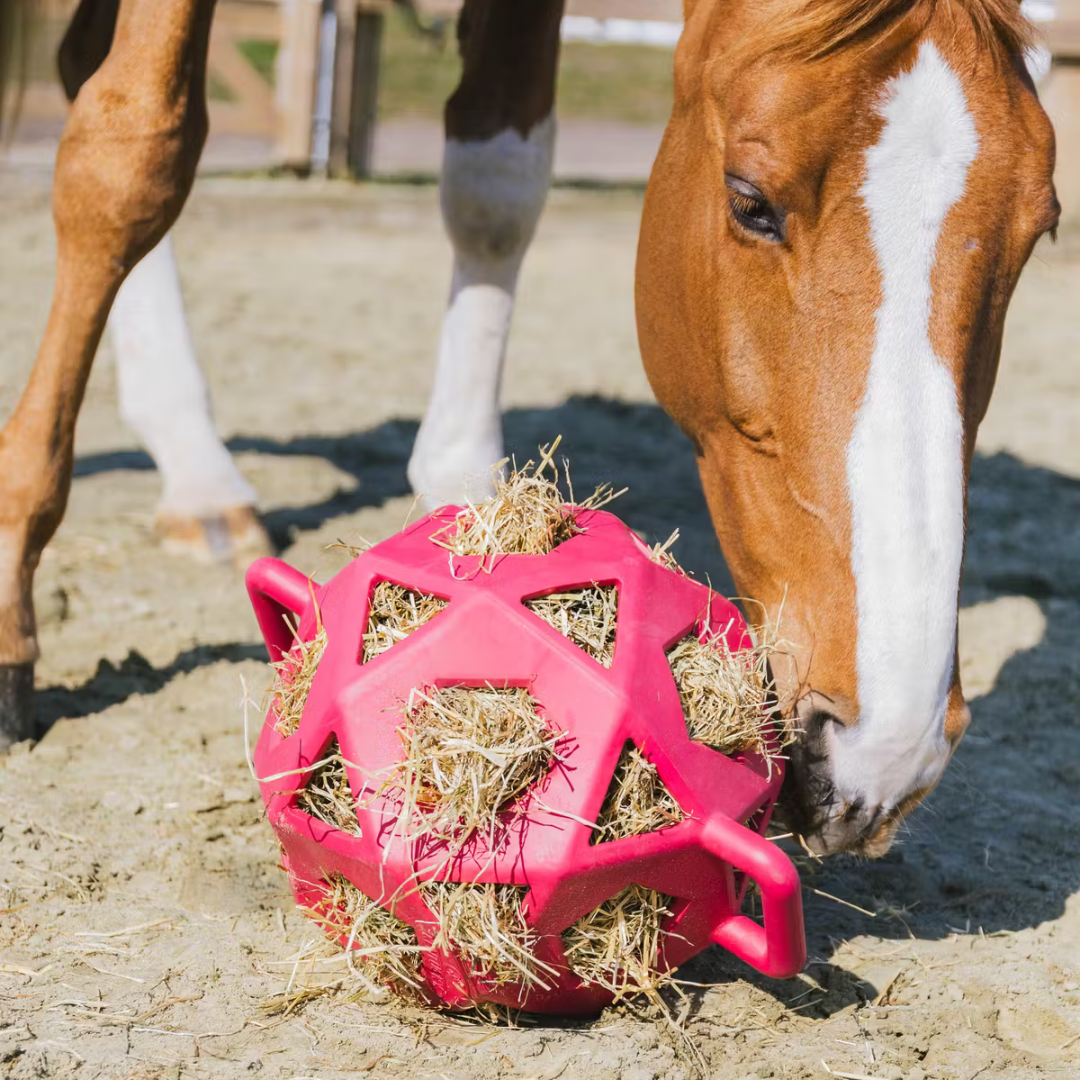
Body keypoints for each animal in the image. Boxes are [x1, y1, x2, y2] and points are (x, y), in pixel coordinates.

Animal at [0, 0, 1058, 861]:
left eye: (1039, 233)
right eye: (750, 202)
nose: (887, 748)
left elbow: (496, 179)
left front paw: (469, 499)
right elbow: (129, 155)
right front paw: (12, 580)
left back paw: (198, 472)